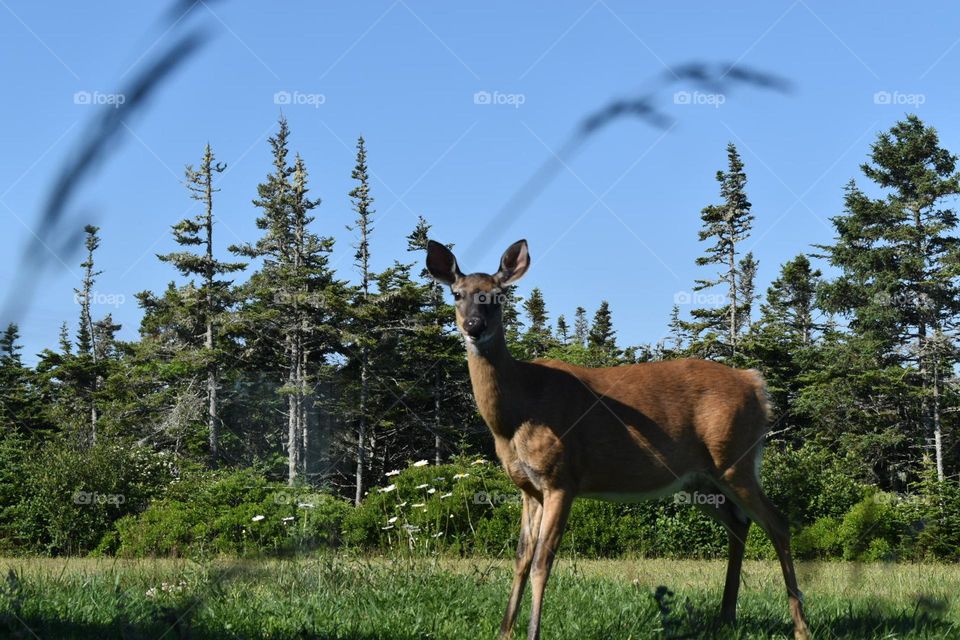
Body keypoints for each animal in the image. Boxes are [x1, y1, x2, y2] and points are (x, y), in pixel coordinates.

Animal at [425, 238, 811, 640]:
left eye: (497, 295)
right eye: (457, 294)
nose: (474, 326)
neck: (518, 411)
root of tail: (756, 383)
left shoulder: (562, 478)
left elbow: (542, 561)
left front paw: (532, 632)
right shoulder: (528, 488)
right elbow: (520, 558)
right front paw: (505, 631)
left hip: (735, 458)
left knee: (778, 523)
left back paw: (800, 625)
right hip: (698, 479)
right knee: (740, 523)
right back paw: (726, 616)